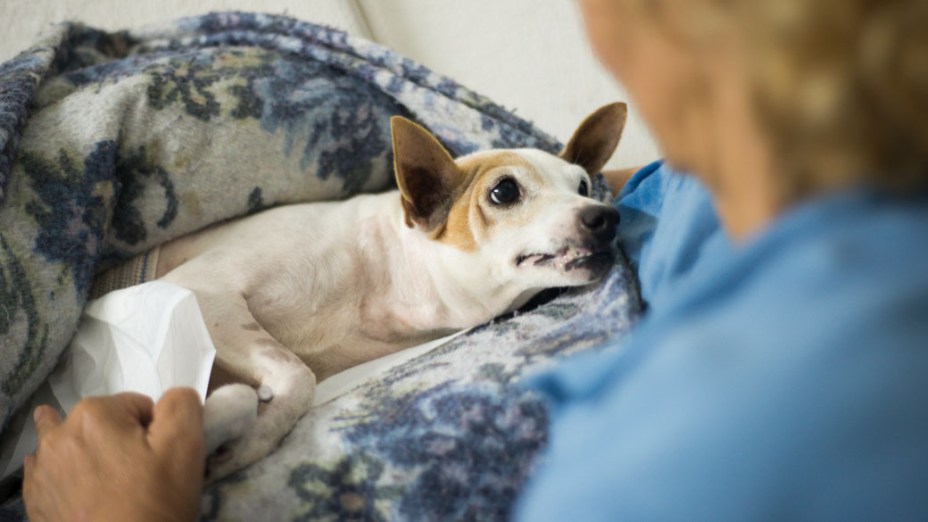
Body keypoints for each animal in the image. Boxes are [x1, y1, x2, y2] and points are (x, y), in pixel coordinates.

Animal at [160, 102, 628, 480]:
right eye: (504, 191)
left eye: (583, 186)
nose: (607, 217)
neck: (384, 278)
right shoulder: (200, 290)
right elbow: (299, 374)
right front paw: (250, 439)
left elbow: (298, 376)